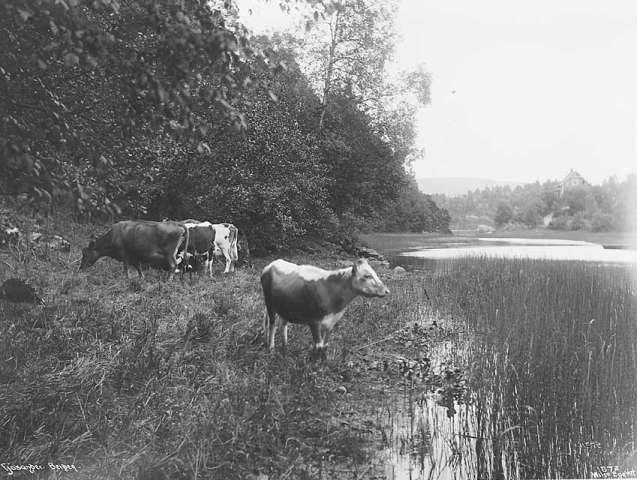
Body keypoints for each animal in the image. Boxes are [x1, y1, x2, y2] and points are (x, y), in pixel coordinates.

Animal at [258, 258, 388, 356]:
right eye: (367, 276)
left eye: (375, 274)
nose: (387, 291)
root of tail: (272, 264)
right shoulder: (314, 321)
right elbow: (318, 345)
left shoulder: (331, 322)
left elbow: (325, 344)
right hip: (269, 303)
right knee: (272, 325)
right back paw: (271, 348)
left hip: (285, 306)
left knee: (283, 324)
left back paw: (285, 346)